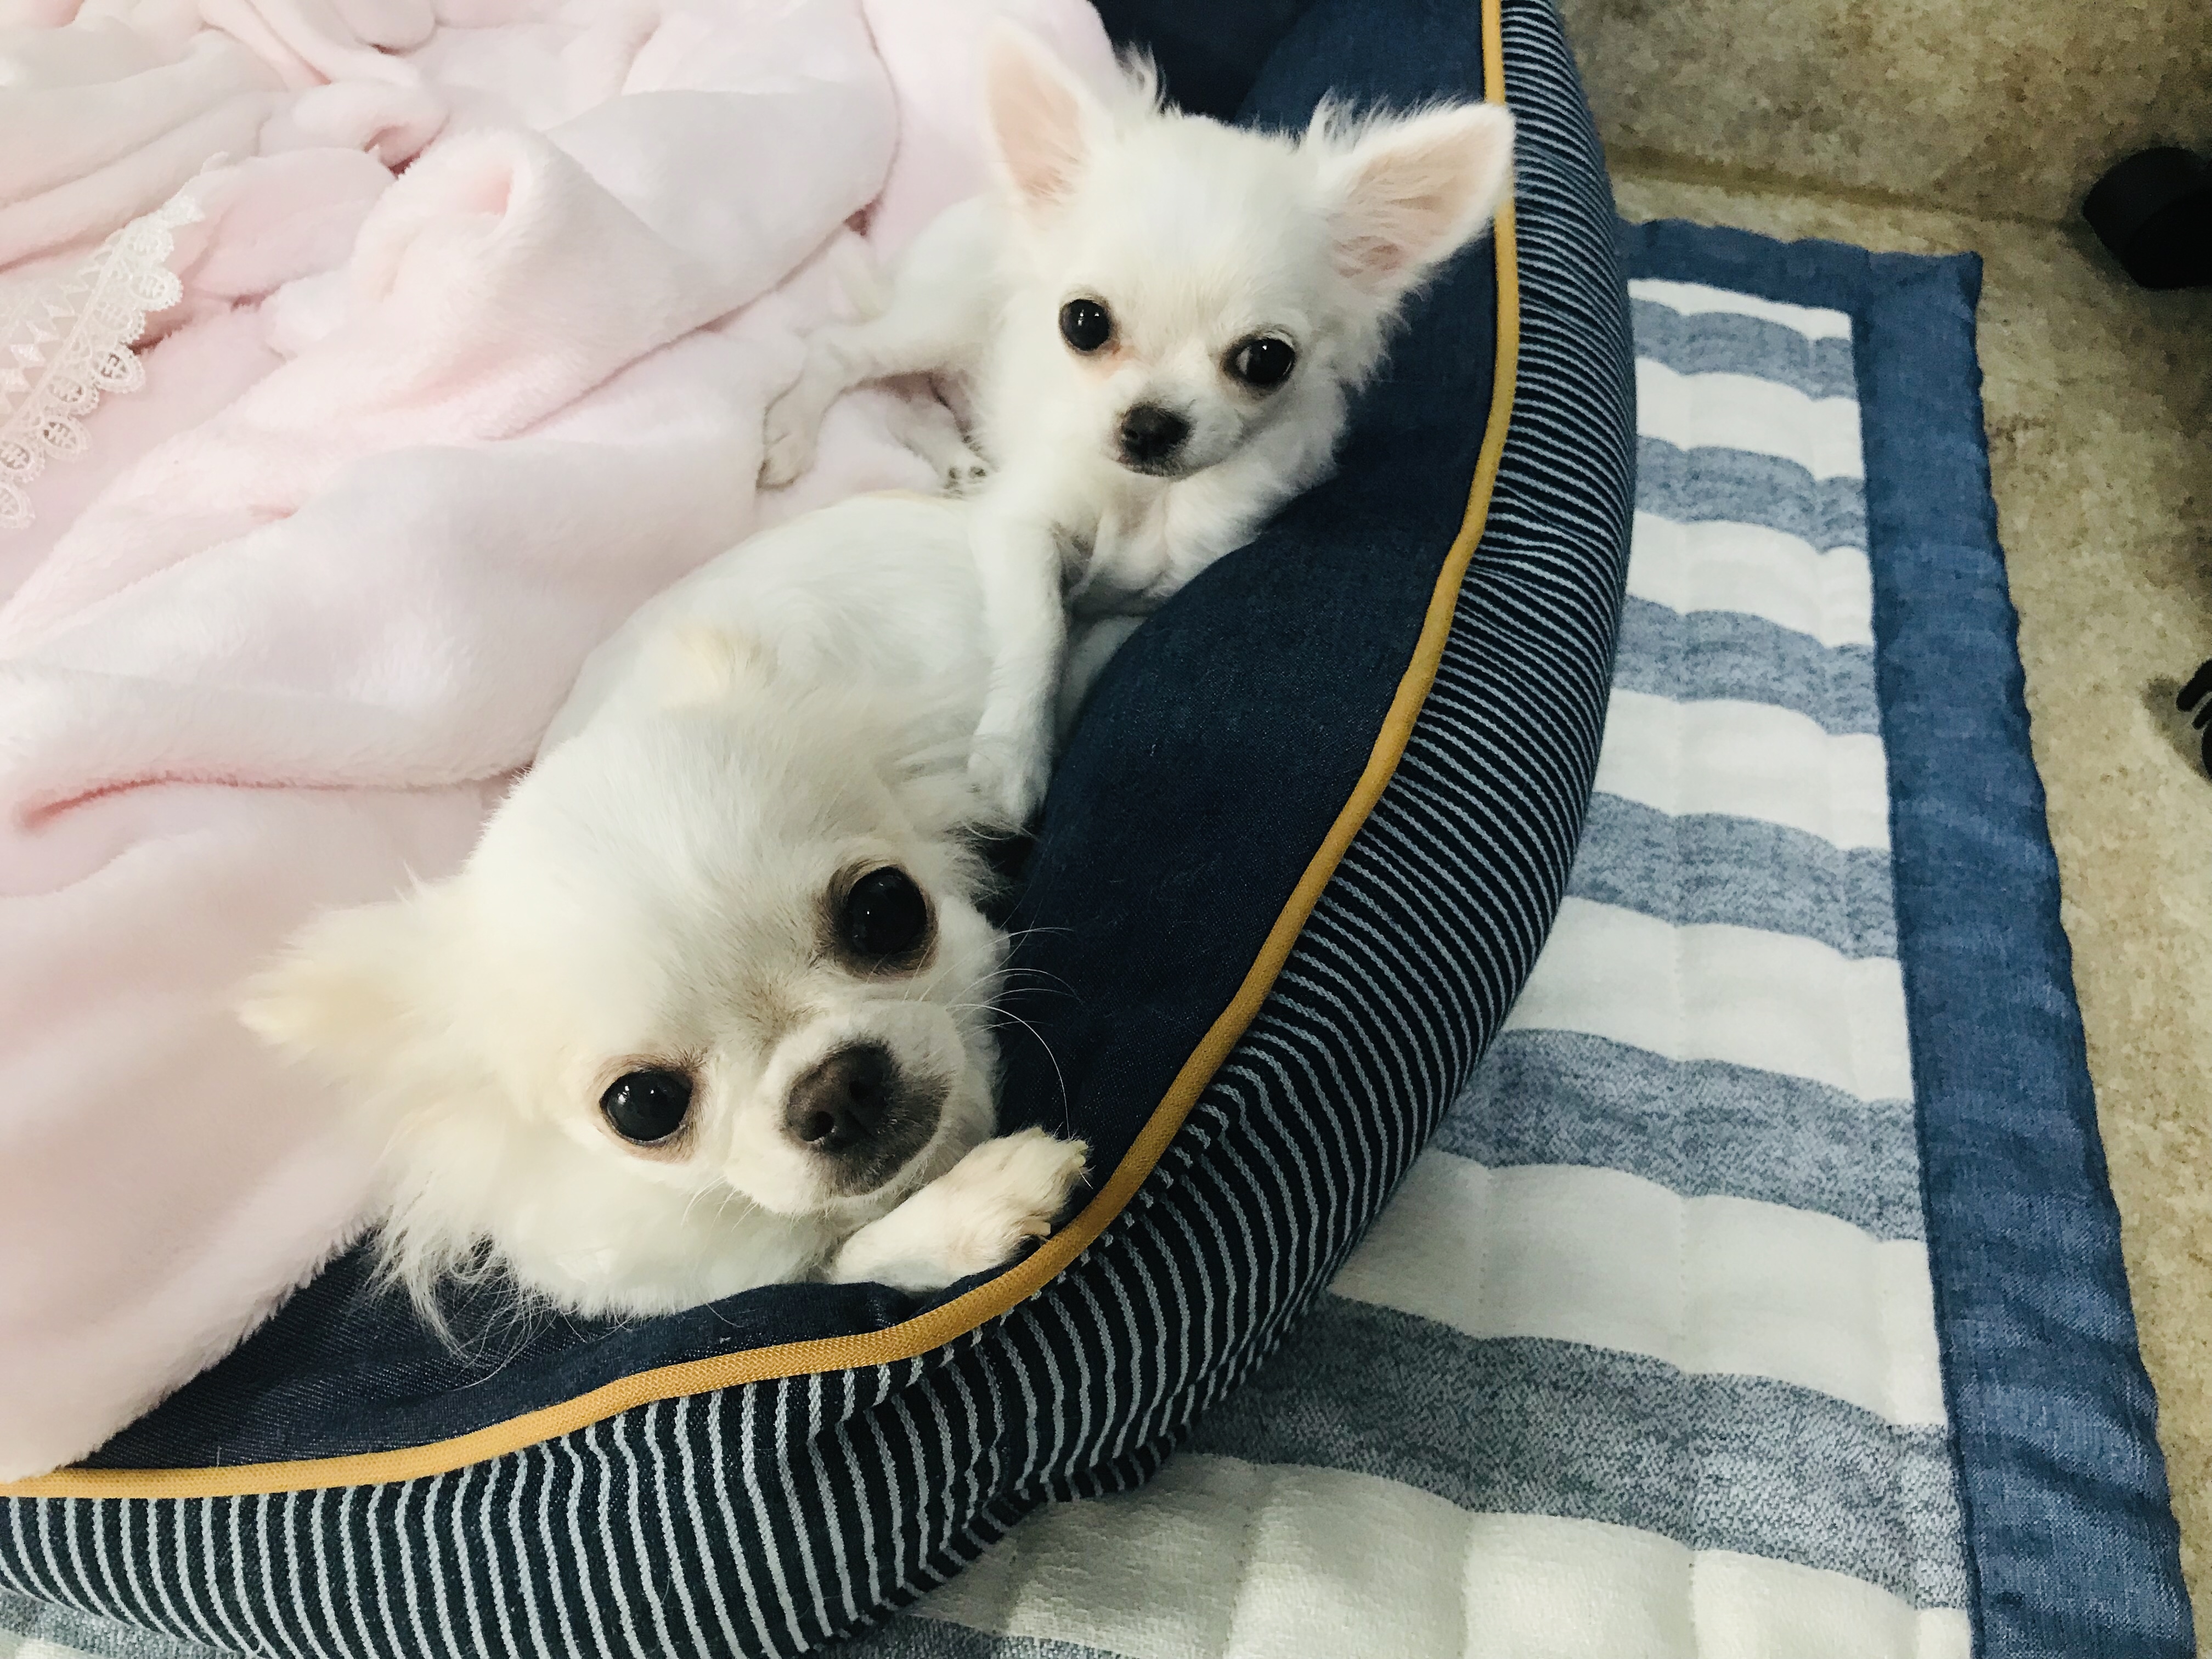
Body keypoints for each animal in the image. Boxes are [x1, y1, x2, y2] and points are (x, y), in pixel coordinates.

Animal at [760, 27, 1515, 820]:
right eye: (1083, 323)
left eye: (1266, 360)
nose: (1151, 424)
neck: (1145, 499)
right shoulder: (1021, 528)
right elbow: (1039, 635)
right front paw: (1013, 758)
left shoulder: (1140, 608)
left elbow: (1082, 659)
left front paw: (1051, 737)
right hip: (938, 322)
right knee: (841, 353)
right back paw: (790, 436)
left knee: (910, 402)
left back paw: (961, 465)